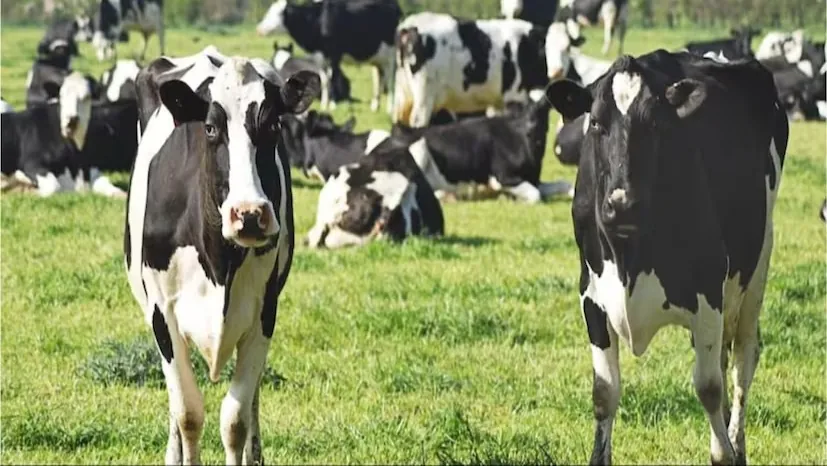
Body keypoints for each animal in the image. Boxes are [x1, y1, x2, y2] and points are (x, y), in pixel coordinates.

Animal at [124, 52, 320, 464]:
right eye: (211, 128)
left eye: (274, 124)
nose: (249, 213)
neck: (219, 263)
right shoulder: (162, 313)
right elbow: (188, 413)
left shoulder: (264, 311)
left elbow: (235, 418)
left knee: (254, 396)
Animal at [256, 0, 401, 112]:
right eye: (268, 11)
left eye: (279, 14)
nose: (260, 30)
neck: (317, 20)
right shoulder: (320, 58)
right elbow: (325, 80)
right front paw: (324, 104)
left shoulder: (334, 55)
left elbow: (333, 79)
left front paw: (333, 105)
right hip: (378, 59)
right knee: (380, 79)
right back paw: (375, 106)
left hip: (392, 55)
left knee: (391, 79)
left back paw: (390, 108)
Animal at [389, 89, 573, 203]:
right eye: (517, 111)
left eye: (542, 109)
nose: (531, 127)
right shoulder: (502, 177)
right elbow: (535, 195)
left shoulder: (534, 179)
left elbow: (565, 184)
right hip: (418, 151)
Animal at [393, 14, 551, 127]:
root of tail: (409, 26)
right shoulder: (514, 95)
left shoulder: (497, 102)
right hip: (425, 95)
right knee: (418, 121)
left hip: (403, 95)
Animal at [545, 49, 788, 464]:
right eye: (596, 123)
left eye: (655, 124)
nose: (622, 204)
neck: (629, 257)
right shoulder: (591, 296)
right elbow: (604, 392)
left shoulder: (708, 292)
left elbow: (709, 387)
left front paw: (724, 451)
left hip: (757, 265)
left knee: (743, 360)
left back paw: (736, 442)